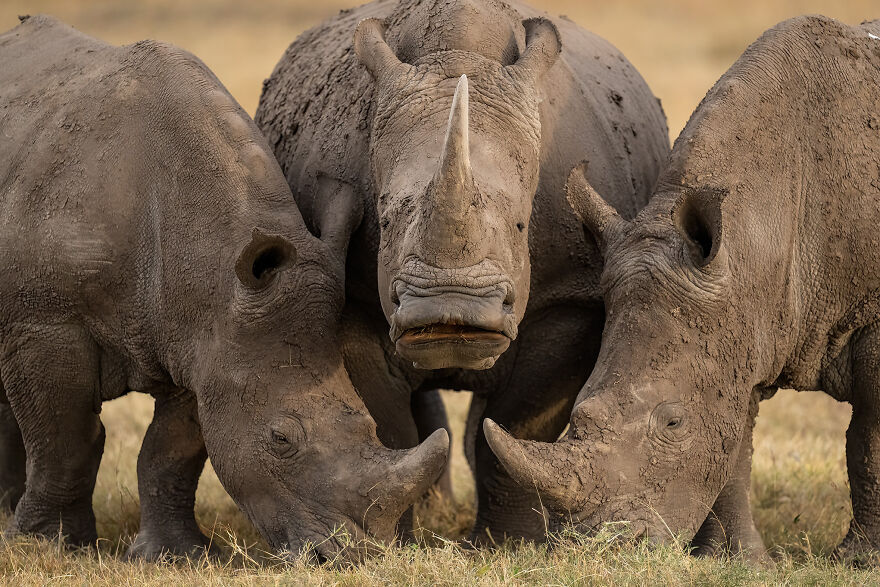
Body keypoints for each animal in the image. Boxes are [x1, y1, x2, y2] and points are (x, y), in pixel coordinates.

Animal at [0, 15, 448, 562]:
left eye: (370, 426)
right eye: (281, 439)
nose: (347, 557)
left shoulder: (206, 335)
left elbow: (169, 451)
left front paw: (172, 556)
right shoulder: (45, 322)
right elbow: (66, 440)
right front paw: (52, 547)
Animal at [256, 0, 668, 541]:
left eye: (522, 225)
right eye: (383, 221)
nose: (449, 312)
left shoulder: (568, 297)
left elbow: (514, 425)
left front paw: (510, 544)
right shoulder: (356, 298)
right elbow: (390, 428)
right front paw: (399, 542)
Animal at [484, 15, 880, 562]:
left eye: (673, 423)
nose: (605, 548)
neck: (761, 229)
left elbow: (868, 442)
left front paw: (859, 559)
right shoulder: (738, 321)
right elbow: (732, 445)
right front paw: (738, 561)